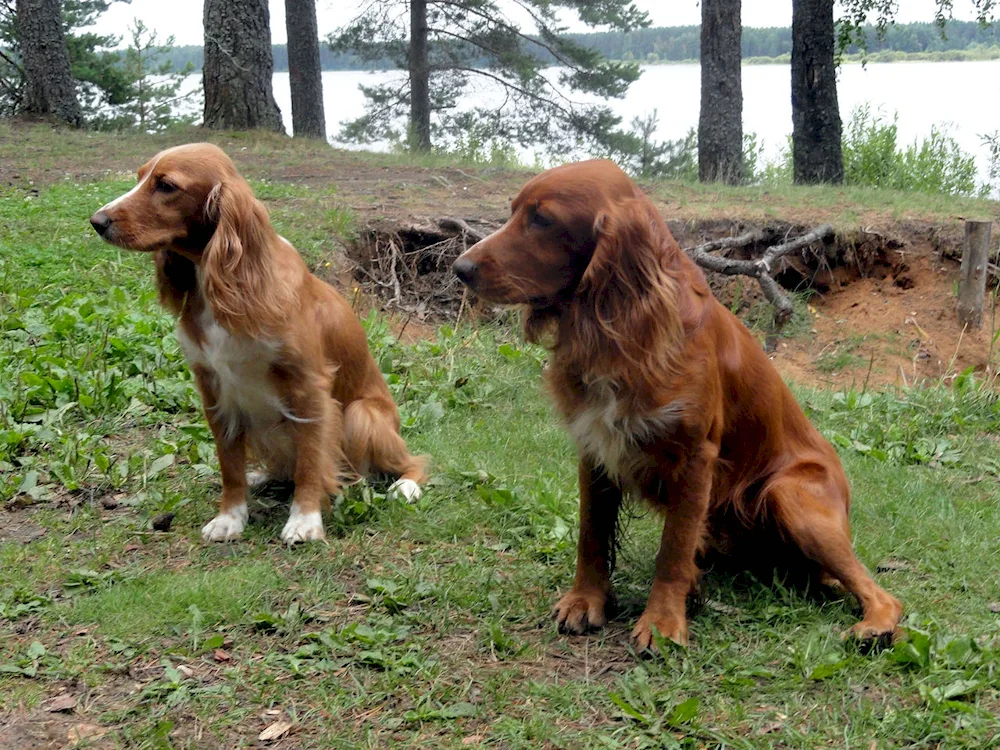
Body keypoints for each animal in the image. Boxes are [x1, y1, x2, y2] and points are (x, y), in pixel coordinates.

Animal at [458, 160, 904, 652]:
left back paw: (874, 624)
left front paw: (662, 622)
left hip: (789, 495)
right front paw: (585, 600)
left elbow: (671, 550)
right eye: (514, 211)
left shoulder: (695, 457)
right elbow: (591, 534)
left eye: (542, 219)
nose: (460, 268)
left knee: (881, 592)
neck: (620, 331)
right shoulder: (594, 447)